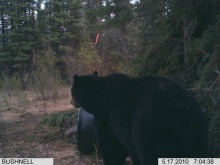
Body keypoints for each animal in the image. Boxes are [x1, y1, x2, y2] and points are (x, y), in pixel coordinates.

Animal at [71, 71, 207, 164]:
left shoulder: (106, 116)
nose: (71, 102)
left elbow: (111, 146)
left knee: (151, 154)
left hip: (149, 128)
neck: (96, 94)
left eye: (72, 91)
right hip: (195, 128)